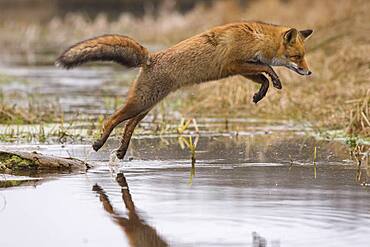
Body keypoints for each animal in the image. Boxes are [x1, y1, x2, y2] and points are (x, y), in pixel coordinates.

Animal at [55, 21, 312, 160]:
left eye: (303, 56)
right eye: (297, 57)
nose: (309, 72)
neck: (256, 38)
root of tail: (151, 57)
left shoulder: (241, 69)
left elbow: (262, 77)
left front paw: (261, 93)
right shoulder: (234, 64)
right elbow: (267, 68)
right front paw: (275, 81)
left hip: (147, 105)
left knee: (128, 125)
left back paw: (121, 151)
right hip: (141, 102)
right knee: (112, 119)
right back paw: (99, 144)